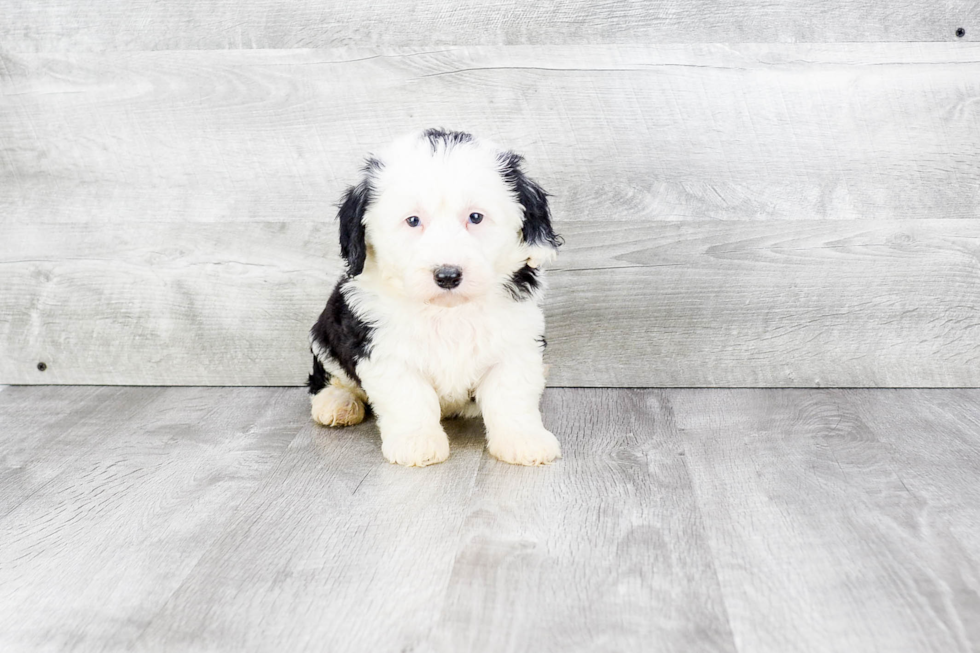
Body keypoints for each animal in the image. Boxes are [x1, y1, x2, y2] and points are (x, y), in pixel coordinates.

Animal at [310, 127, 564, 466]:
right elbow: (409, 397)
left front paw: (524, 440)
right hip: (326, 334)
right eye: (413, 220)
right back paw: (336, 402)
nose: (447, 275)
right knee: (330, 376)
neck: (448, 311)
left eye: (475, 217)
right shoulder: (384, 348)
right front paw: (417, 442)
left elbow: (512, 394)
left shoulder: (515, 342)